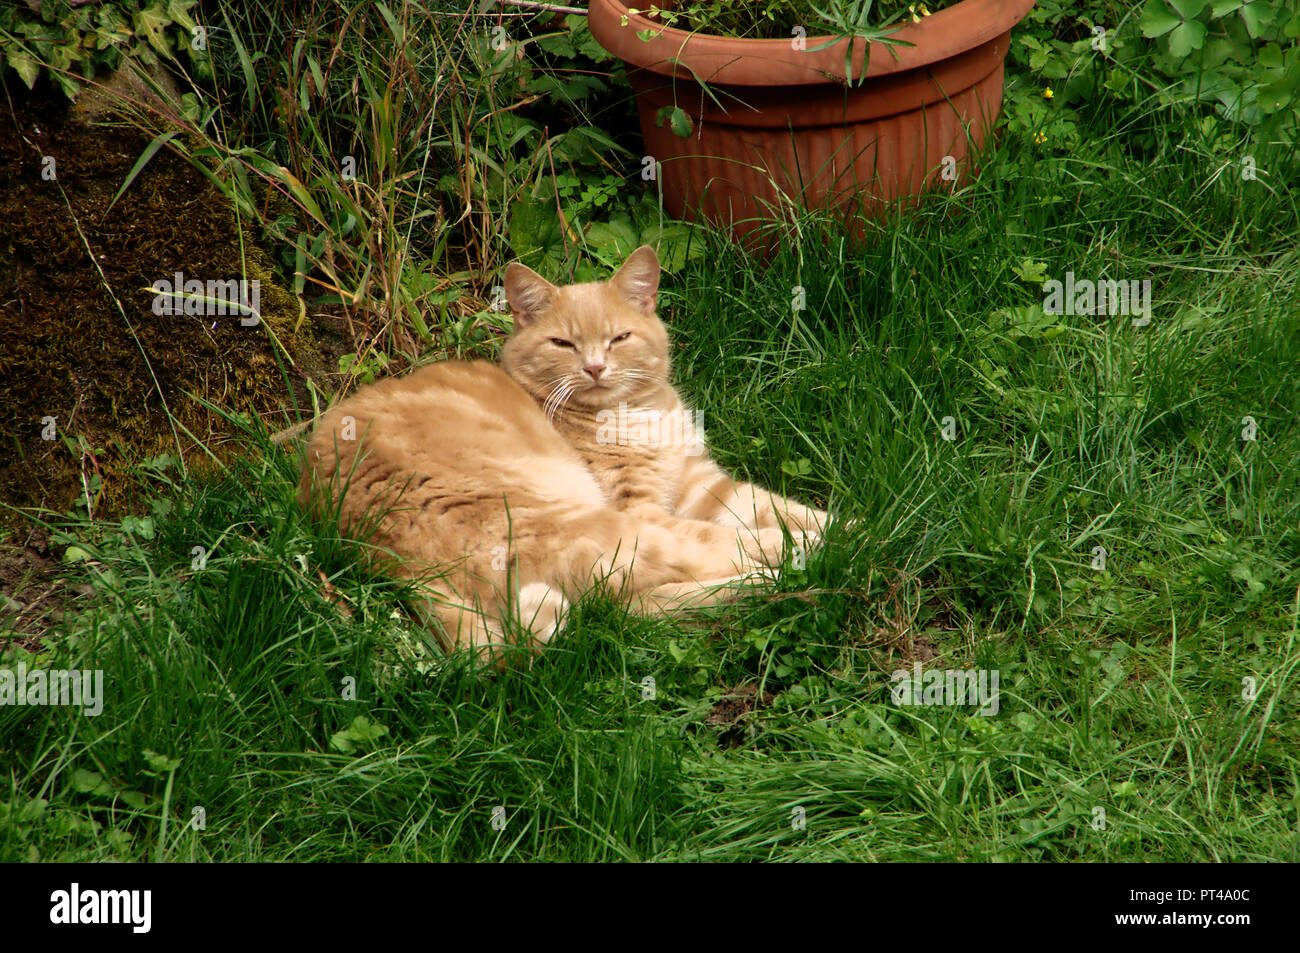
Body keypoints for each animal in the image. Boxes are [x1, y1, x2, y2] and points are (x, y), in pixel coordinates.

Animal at [297, 247, 821, 660]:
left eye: (619, 338)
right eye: (563, 343)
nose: (594, 367)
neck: (634, 414)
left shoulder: (701, 485)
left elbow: (778, 506)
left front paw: (838, 521)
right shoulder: (645, 509)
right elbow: (744, 528)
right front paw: (826, 536)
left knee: (629, 608)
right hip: (591, 525)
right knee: (661, 583)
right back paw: (797, 563)